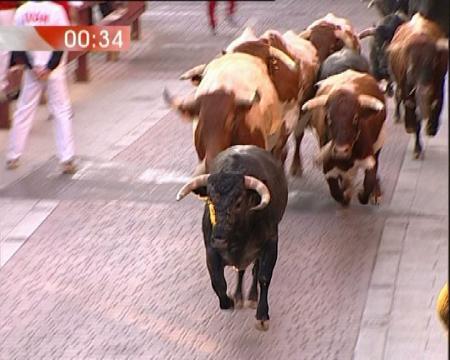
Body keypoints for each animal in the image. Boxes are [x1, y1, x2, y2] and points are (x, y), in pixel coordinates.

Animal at [176, 145, 288, 330]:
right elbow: (218, 281)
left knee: (254, 270)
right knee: (240, 270)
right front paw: (228, 301)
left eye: (238, 203)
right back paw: (238, 296)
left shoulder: (271, 244)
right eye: (210, 201)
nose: (219, 238)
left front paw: (262, 315)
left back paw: (251, 297)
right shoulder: (211, 250)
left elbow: (264, 276)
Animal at [386, 14, 446, 158]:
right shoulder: (406, 88)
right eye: (410, 68)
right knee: (399, 97)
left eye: (434, 63)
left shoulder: (439, 83)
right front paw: (417, 148)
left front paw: (431, 128)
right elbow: (413, 115)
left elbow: (437, 103)